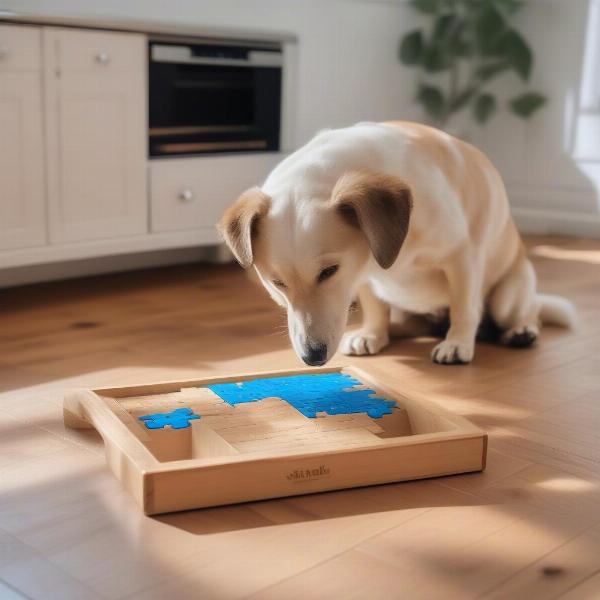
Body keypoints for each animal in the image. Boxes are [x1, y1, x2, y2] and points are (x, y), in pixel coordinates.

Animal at [217, 120, 576, 366]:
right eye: (277, 283)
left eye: (329, 271)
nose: (312, 358)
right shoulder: (364, 276)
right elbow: (376, 307)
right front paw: (372, 334)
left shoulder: (461, 256)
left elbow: (464, 306)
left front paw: (459, 342)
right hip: (407, 308)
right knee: (404, 322)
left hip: (507, 297)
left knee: (527, 312)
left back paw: (520, 331)